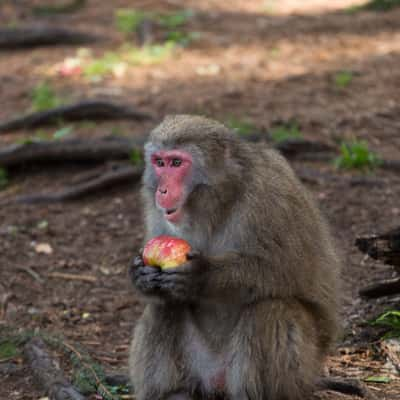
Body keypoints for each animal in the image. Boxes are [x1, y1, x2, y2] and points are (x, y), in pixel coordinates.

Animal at [128, 115, 340, 400]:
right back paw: (174, 393)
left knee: (271, 309)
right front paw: (141, 274)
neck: (219, 200)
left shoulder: (270, 194)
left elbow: (283, 271)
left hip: (303, 370)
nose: (161, 191)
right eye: (159, 163)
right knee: (164, 306)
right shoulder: (154, 207)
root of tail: (217, 383)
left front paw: (201, 276)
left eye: (176, 163)